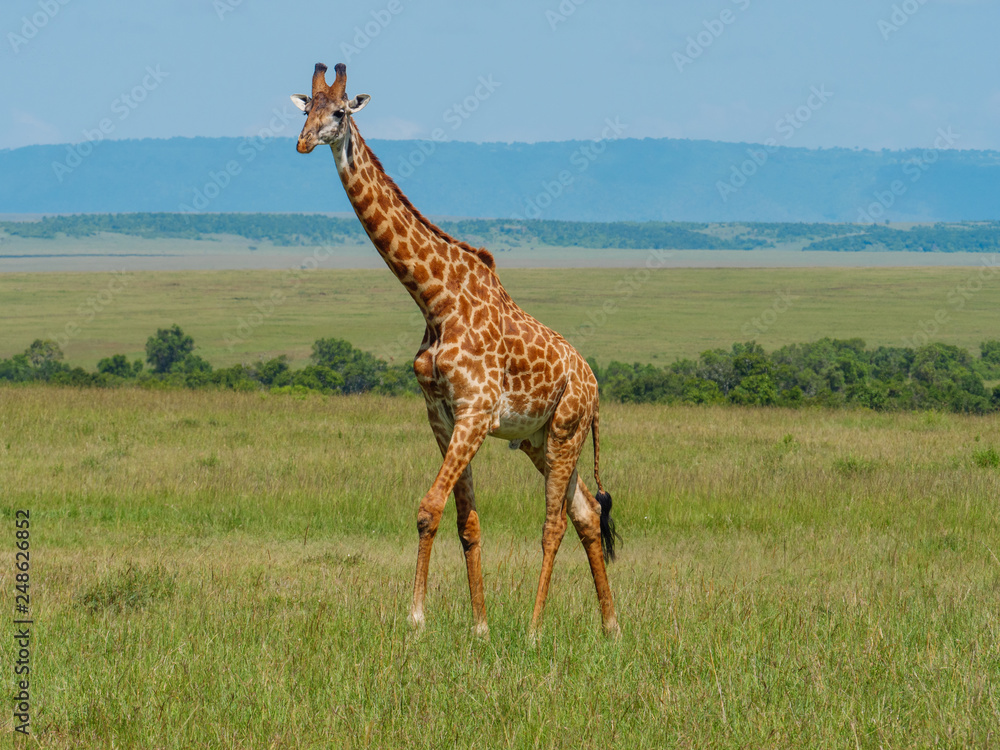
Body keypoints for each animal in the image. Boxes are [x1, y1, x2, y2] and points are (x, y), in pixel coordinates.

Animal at [293, 62, 620, 638]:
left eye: (339, 112)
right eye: (304, 108)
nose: (304, 142)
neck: (433, 299)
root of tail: (594, 385)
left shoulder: (475, 412)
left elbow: (429, 508)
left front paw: (417, 617)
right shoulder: (442, 415)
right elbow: (465, 520)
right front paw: (479, 627)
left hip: (566, 430)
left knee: (555, 523)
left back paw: (534, 630)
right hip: (540, 439)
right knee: (585, 513)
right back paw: (611, 628)